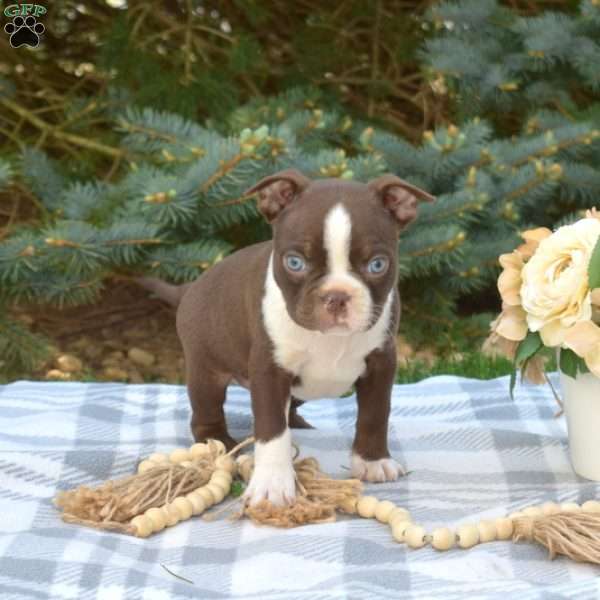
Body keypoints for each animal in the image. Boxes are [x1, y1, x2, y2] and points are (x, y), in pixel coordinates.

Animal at [142, 170, 432, 506]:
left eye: (378, 265)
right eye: (294, 262)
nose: (336, 296)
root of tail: (190, 287)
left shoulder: (381, 363)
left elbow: (375, 414)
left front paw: (373, 462)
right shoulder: (269, 370)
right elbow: (272, 429)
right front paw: (272, 484)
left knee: (291, 408)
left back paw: (301, 423)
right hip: (205, 370)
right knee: (206, 410)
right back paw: (219, 440)